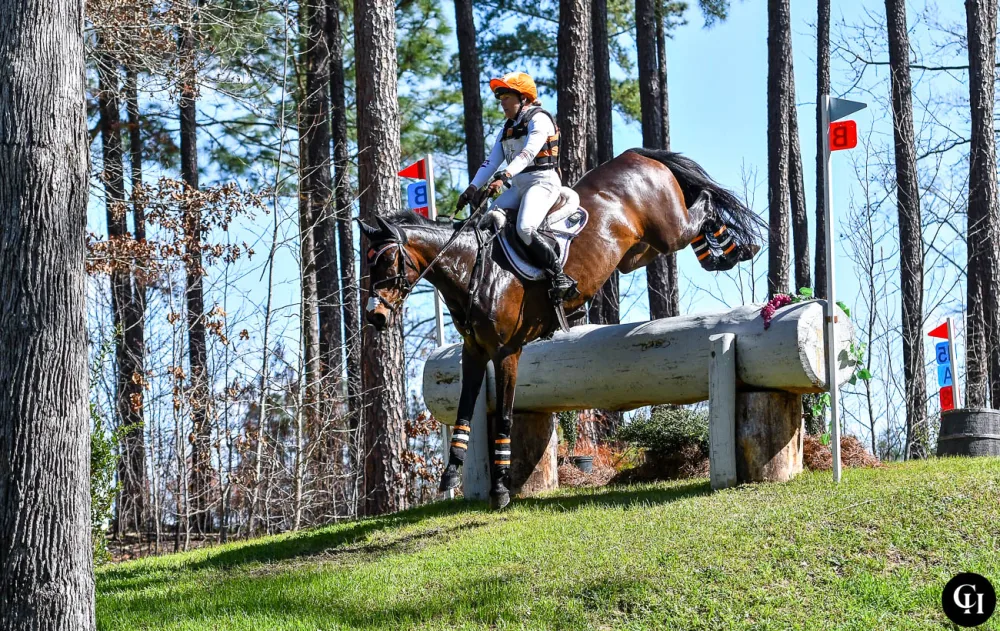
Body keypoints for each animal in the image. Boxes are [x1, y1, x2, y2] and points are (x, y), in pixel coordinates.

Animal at [359, 148, 763, 509]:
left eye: (388, 260)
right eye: (368, 262)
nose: (374, 316)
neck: (475, 268)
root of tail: (637, 154)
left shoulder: (506, 352)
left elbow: (504, 417)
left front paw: (500, 489)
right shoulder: (473, 353)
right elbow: (463, 413)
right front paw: (451, 476)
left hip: (668, 228)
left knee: (703, 205)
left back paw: (733, 250)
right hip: (636, 250)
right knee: (681, 227)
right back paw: (720, 253)